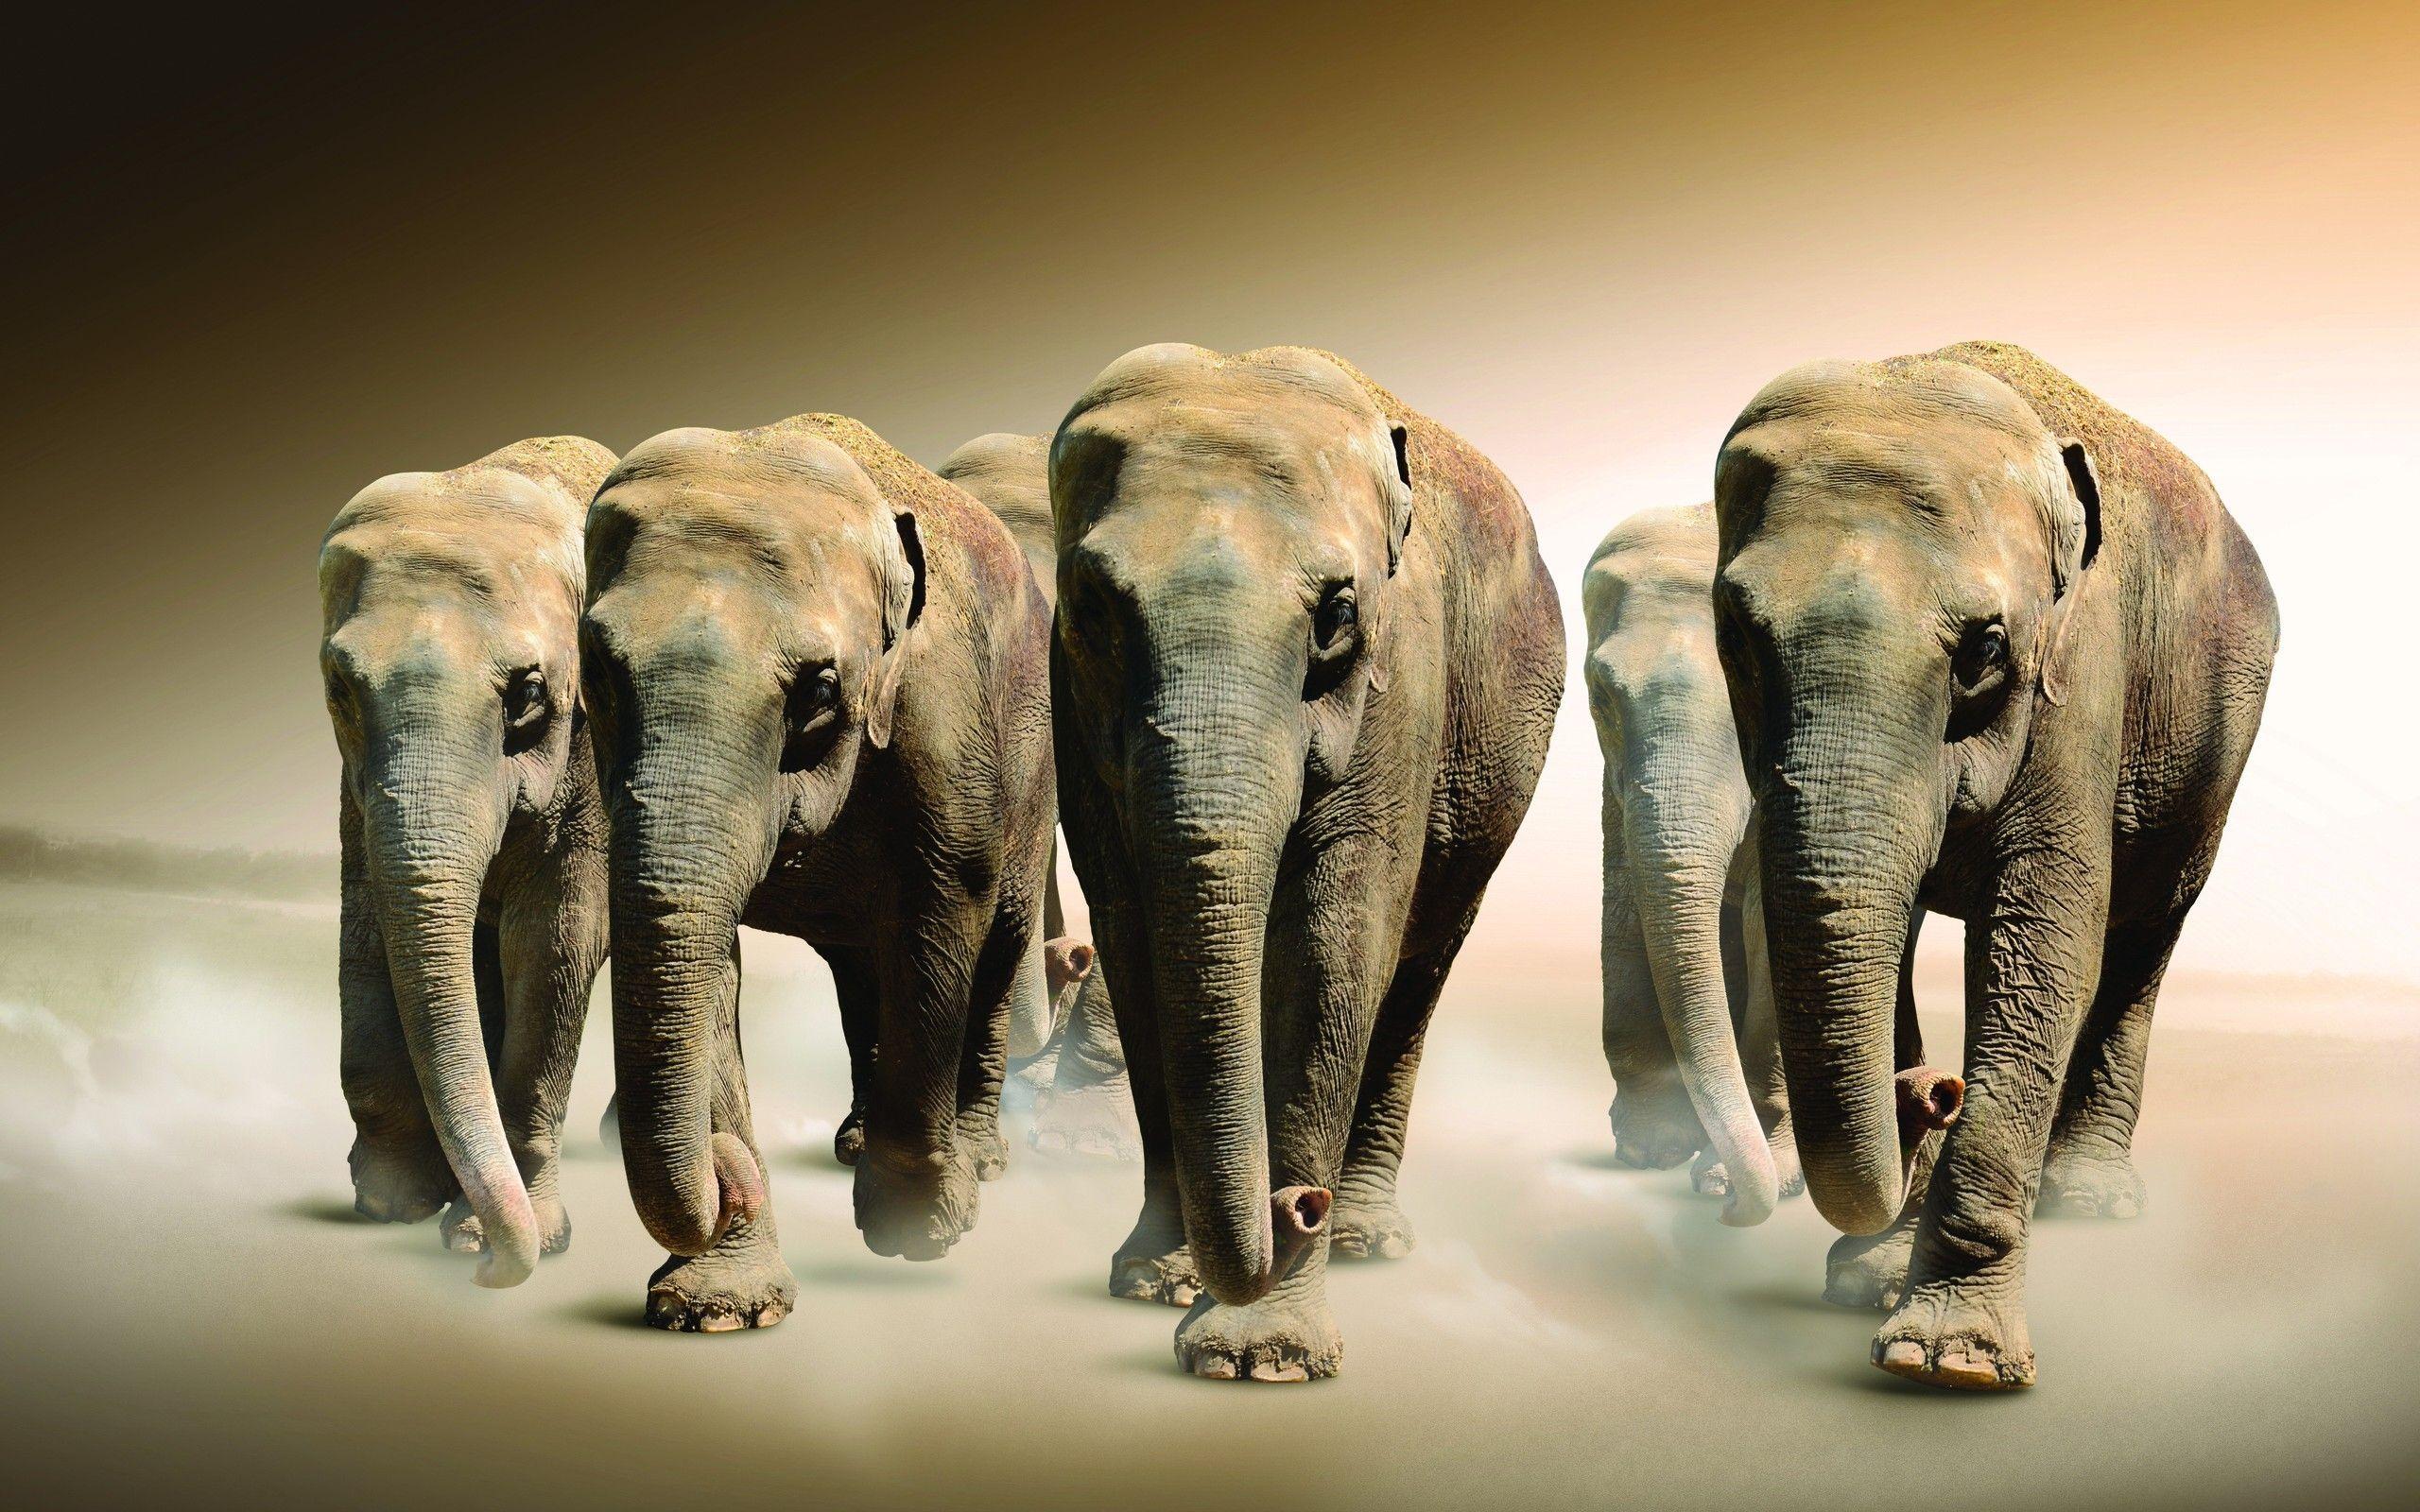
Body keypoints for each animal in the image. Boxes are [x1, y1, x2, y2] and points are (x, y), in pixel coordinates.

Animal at [316, 434, 618, 1288]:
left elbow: (556, 941)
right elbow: (368, 925)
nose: (485, 1275)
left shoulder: (591, 755)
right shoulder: (355, 787)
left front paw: (503, 1239)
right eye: (340, 688)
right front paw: (392, 1204)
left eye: (528, 694)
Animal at [580, 412, 1055, 1331]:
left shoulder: (942, 708)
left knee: (999, 941)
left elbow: (944, 906)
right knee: (859, 968)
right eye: (599, 671)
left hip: (1037, 757)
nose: (726, 1170)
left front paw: (920, 1229)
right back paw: (854, 1142)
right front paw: (717, 1309)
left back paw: (978, 1160)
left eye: (822, 689)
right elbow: (703, 952)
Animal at [1051, 344, 1564, 1380]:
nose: (1297, 1208)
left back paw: (1367, 1238)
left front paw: (1261, 1358)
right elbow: (1129, 934)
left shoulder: (1403, 674)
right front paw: (1158, 1283)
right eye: (1093, 609)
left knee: (1418, 966)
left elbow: (1335, 943)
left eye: (1337, 611)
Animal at [1582, 502, 1800, 1224]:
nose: (1729, 1210)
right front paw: (1651, 1150)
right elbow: (1626, 896)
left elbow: (1773, 921)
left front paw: (1746, 1177)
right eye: (1600, 696)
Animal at [1711, 341, 2278, 1390]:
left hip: (2215, 749)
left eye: (1983, 647)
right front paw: (1870, 1282)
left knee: (2143, 935)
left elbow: (2044, 942)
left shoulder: (2084, 671)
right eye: (1736, 633)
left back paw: (2089, 1199)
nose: (1934, 1089)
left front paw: (1948, 1362)